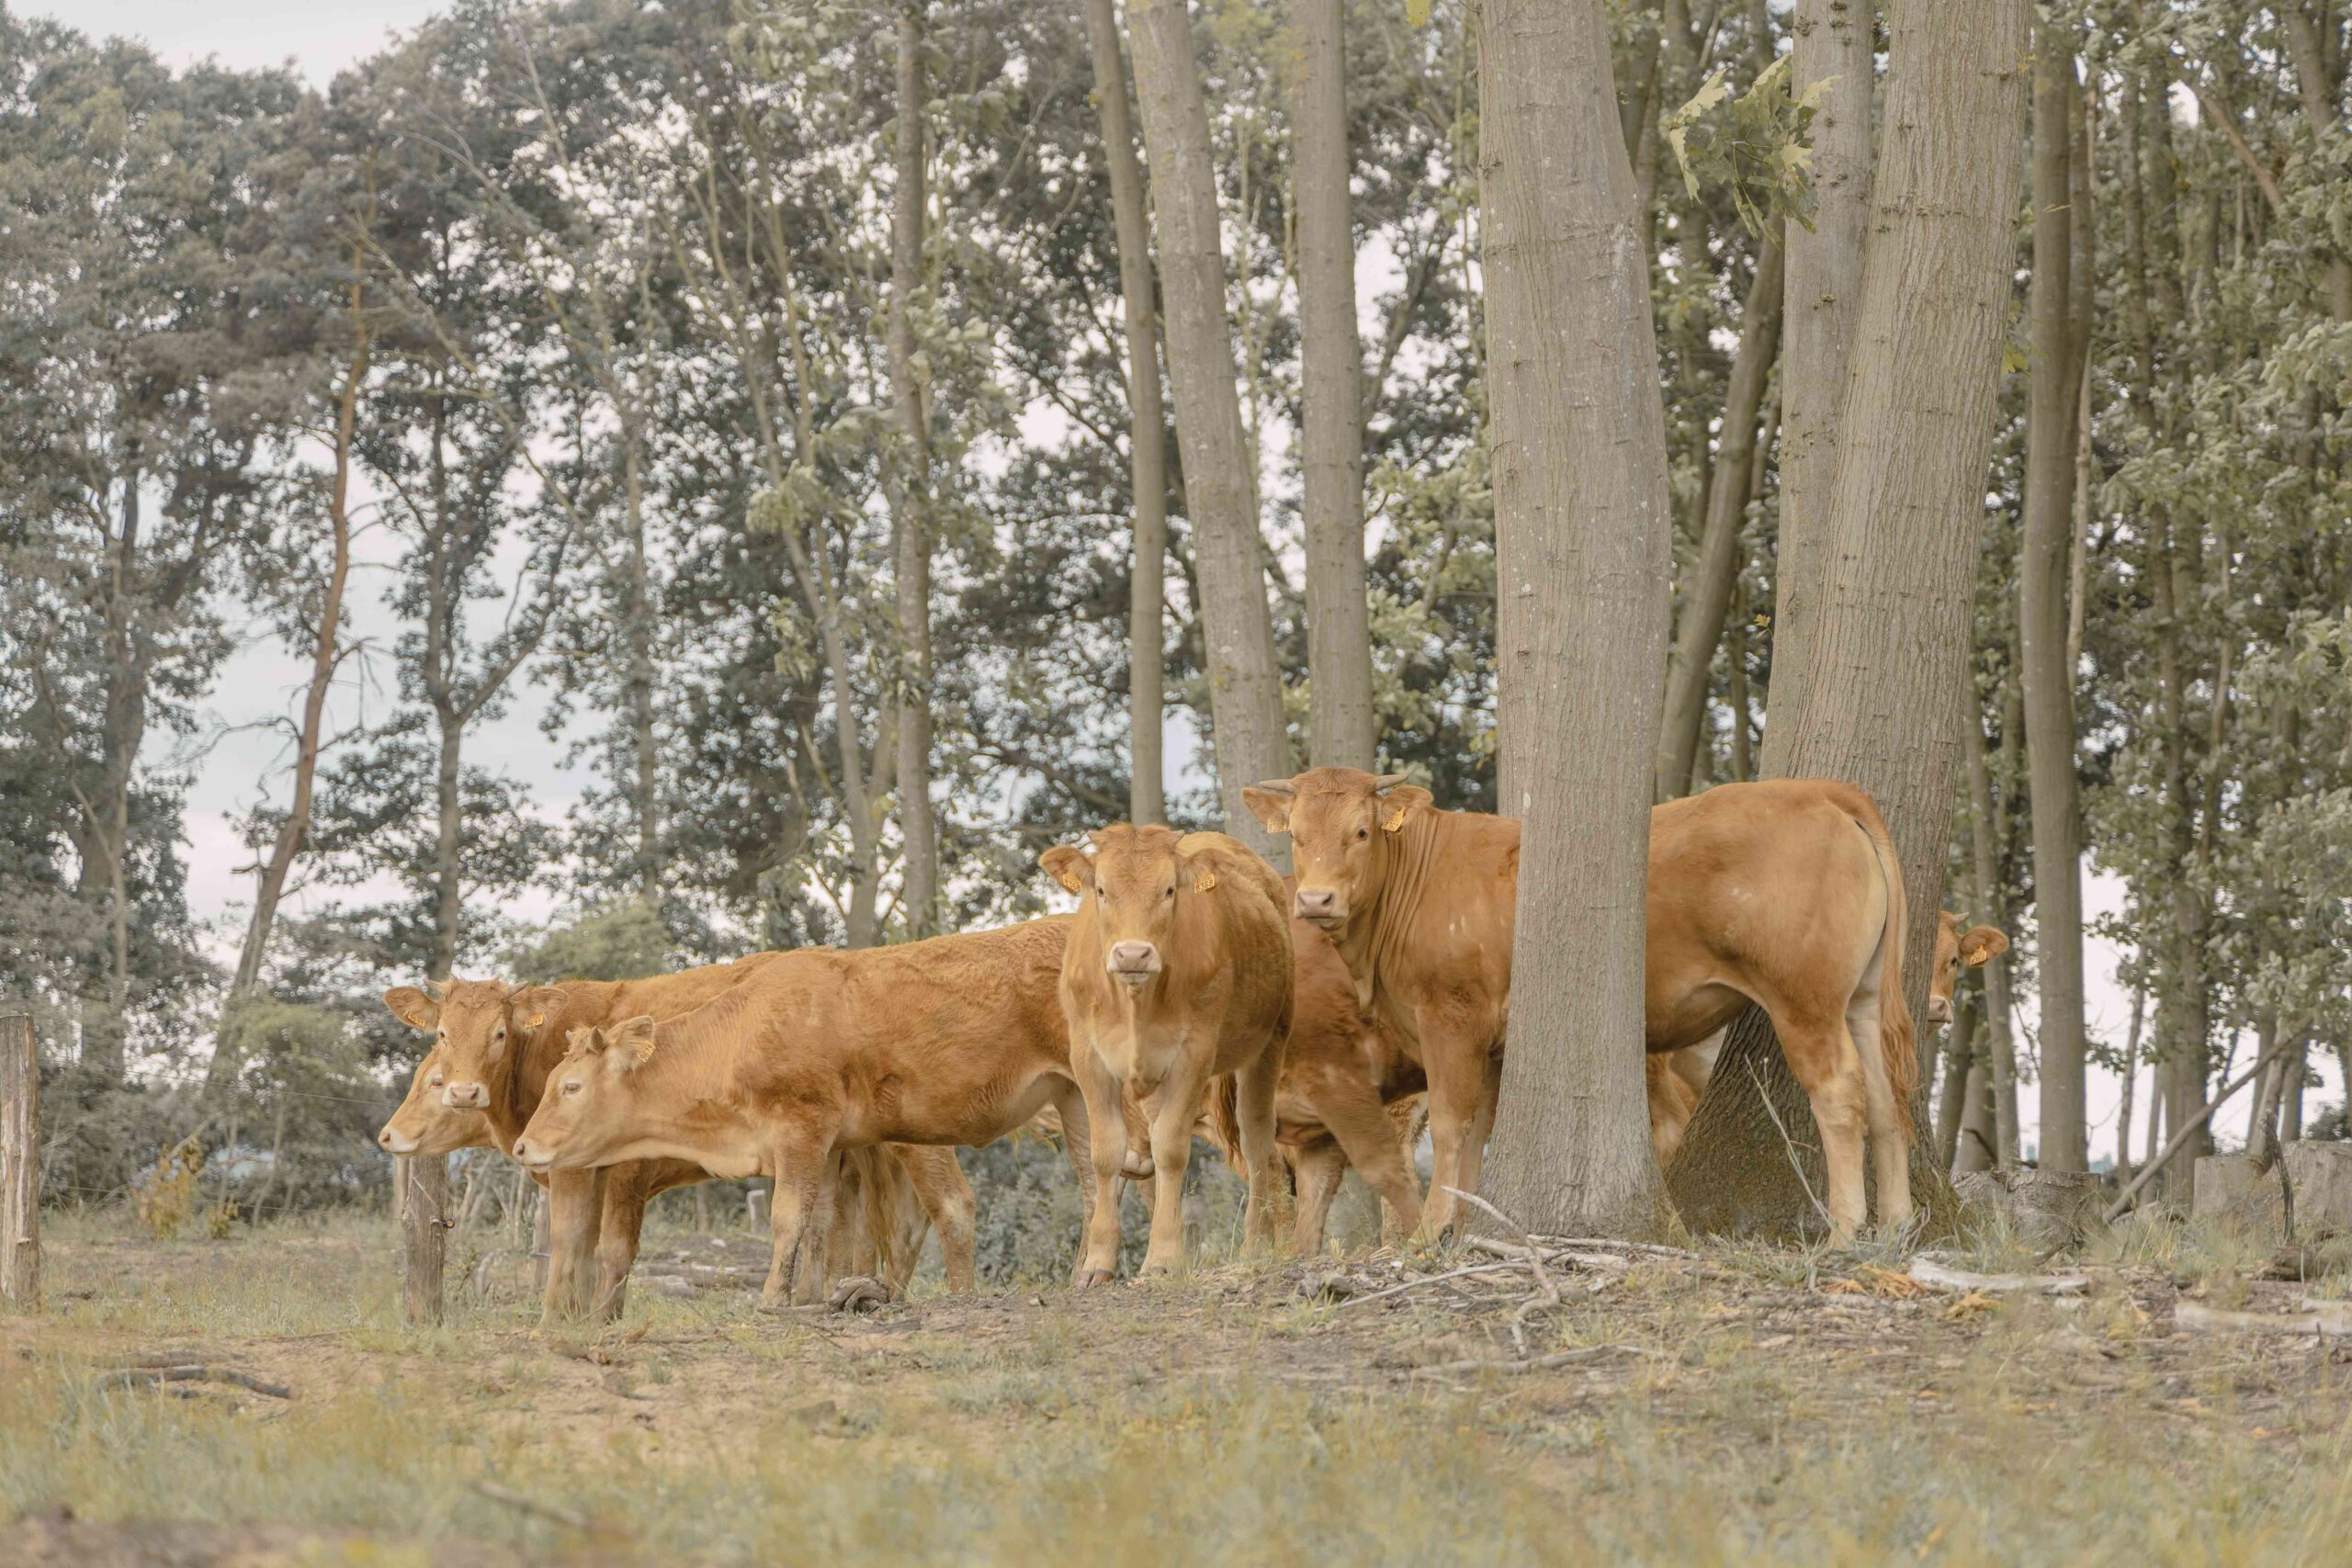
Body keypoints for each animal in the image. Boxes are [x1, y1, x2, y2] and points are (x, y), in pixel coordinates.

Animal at [379, 956, 976, 1314]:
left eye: (499, 1032)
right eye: (442, 1034)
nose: (463, 1092)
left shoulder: (613, 1168)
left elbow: (594, 1248)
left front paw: (570, 1324)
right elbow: (584, 1251)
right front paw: (584, 1319)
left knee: (948, 1206)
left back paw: (959, 1299)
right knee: (868, 1228)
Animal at [508, 919, 1099, 1307]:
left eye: (571, 1086)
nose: (521, 1147)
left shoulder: (801, 1129)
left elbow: (788, 1217)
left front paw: (773, 1299)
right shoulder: (830, 1147)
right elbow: (822, 1226)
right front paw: (812, 1299)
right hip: (1074, 1097)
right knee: (1094, 1180)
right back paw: (1087, 1276)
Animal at [1041, 826, 1293, 1282]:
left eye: (1170, 889)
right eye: (1101, 890)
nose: (1132, 954)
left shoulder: (1194, 1055)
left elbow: (1172, 1150)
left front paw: (1162, 1259)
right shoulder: (1087, 1057)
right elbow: (1106, 1152)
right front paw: (1098, 1263)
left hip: (1270, 1038)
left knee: (1255, 1138)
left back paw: (1256, 1244)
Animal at [1245, 768, 1917, 1239]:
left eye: (1360, 831)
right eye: (1297, 836)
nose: (1315, 900)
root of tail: (1822, 791)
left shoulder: (1450, 1019)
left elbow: (1454, 1124)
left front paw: (1432, 1232)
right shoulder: (1493, 1042)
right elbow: (1479, 1131)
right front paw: (1464, 1229)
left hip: (1805, 998)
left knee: (1840, 1093)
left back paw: (1845, 1230)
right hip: (1859, 997)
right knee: (1887, 1097)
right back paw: (1898, 1222)